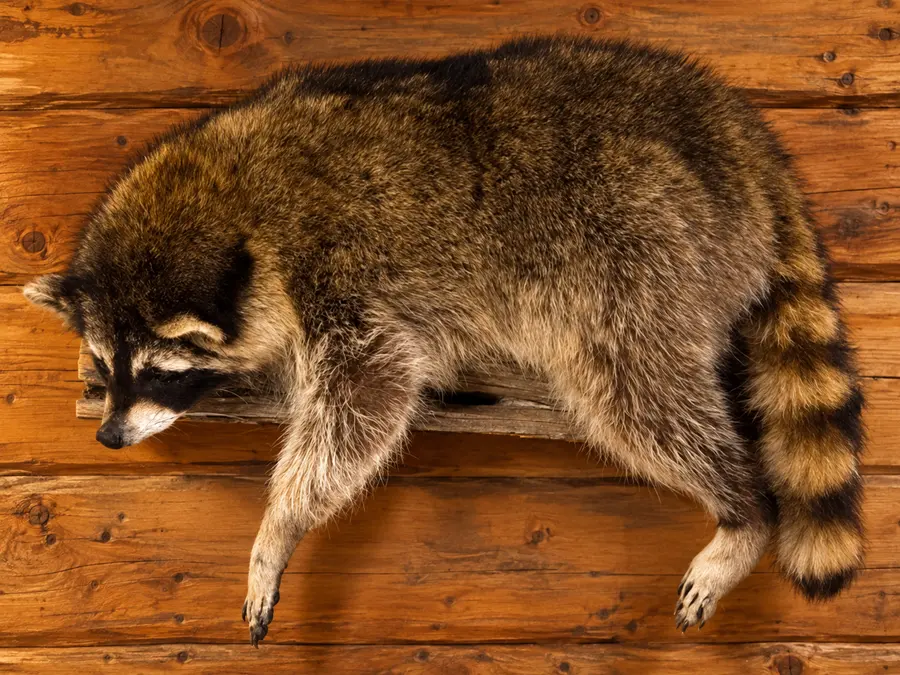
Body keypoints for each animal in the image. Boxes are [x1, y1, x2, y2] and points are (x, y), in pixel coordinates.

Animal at [24, 37, 864, 645]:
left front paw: (278, 526)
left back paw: (743, 507)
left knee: (636, 391)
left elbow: (366, 400)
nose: (108, 437)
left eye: (160, 371)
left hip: (645, 244)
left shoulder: (341, 274)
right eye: (107, 365)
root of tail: (738, 135)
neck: (238, 197)